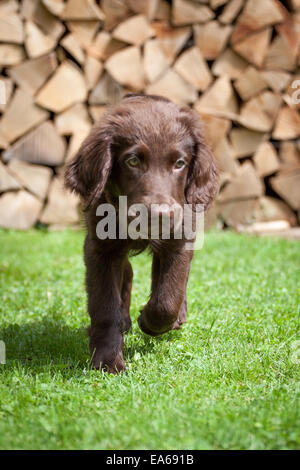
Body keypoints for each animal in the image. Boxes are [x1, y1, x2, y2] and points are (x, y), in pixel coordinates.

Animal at [65, 94, 218, 374]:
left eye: (180, 163)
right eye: (133, 161)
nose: (160, 215)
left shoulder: (180, 237)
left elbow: (167, 297)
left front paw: (150, 321)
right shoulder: (100, 248)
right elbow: (105, 306)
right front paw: (107, 360)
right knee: (127, 274)